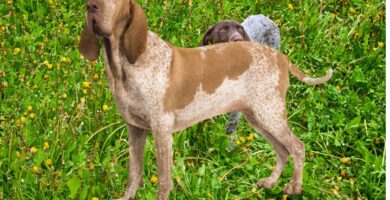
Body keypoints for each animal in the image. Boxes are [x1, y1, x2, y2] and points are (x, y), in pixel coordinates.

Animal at [78, 0, 332, 199]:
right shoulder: (134, 128)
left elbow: (164, 181)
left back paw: (294, 187)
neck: (124, 67)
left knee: (297, 147)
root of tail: (281, 57)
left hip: (269, 113)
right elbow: (134, 174)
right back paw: (270, 182)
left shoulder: (161, 129)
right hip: (258, 116)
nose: (91, 6)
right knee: (282, 150)